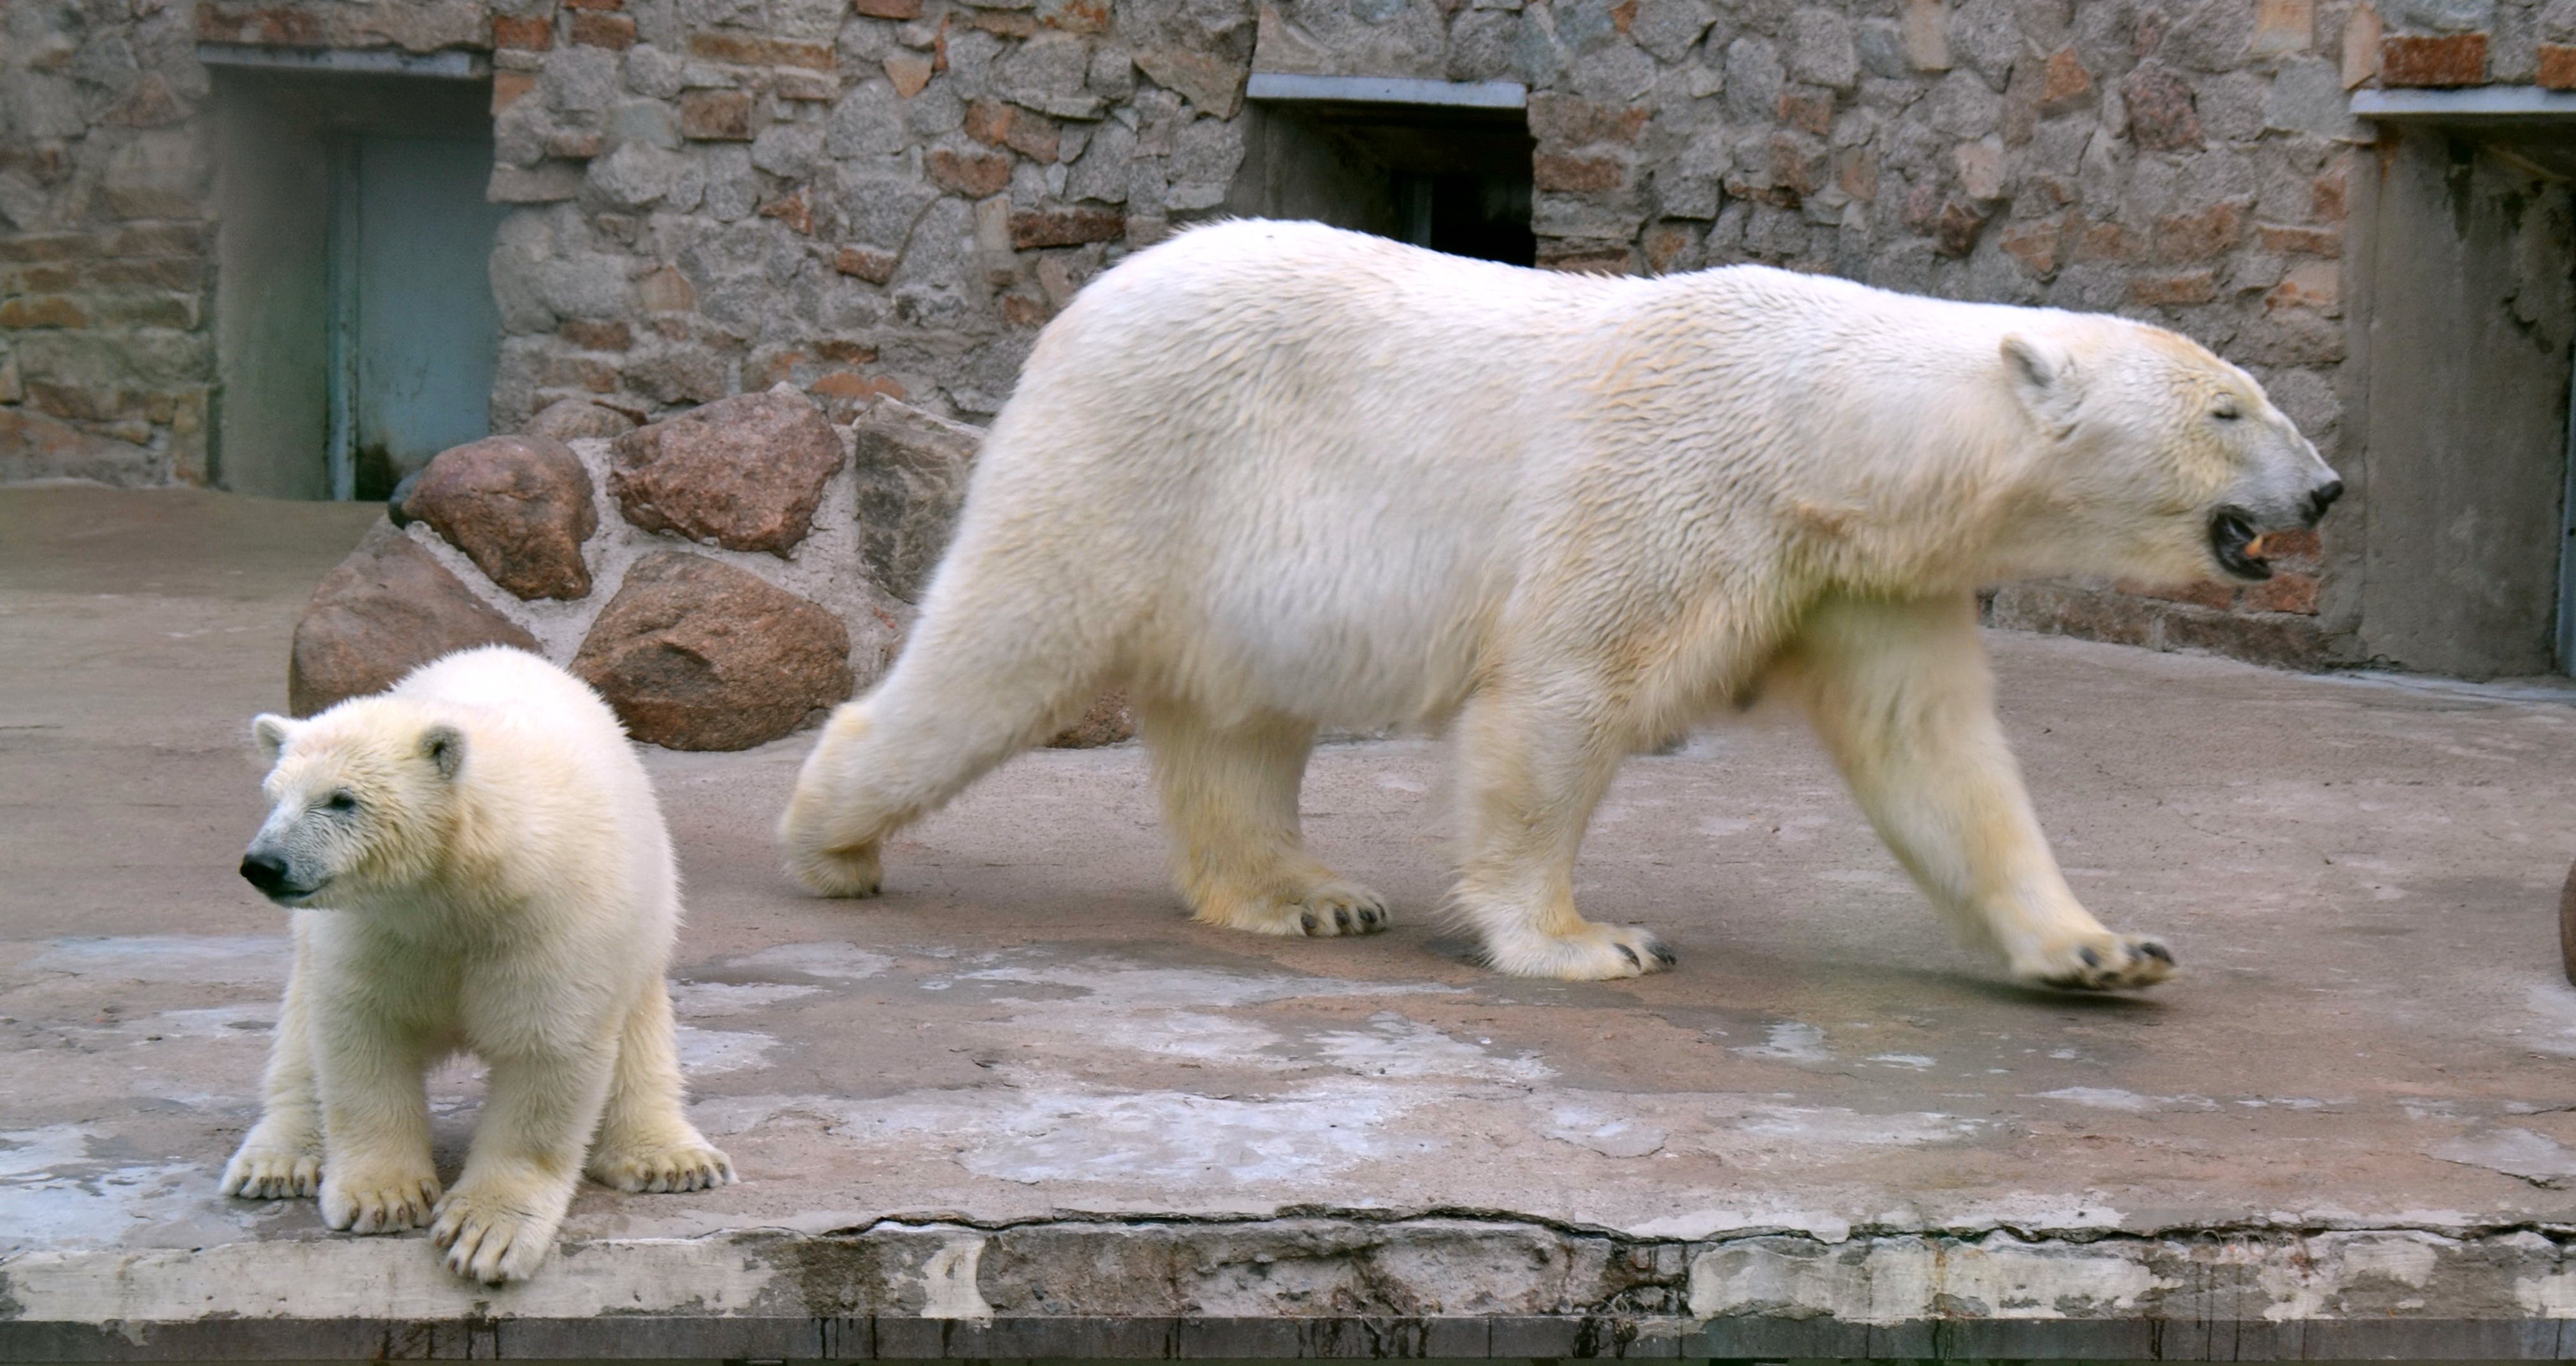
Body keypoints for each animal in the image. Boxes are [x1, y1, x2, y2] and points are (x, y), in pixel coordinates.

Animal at [772, 217, 2349, 984]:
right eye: (2227, 408)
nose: (2327, 487)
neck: (1813, 432)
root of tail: (1086, 301)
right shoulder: (1666, 489)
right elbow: (1561, 694)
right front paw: (1587, 942)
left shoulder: (1857, 574)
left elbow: (1935, 755)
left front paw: (2100, 949)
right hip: (1137, 452)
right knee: (1002, 646)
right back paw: (828, 843)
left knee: (1239, 715)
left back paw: (1304, 894)